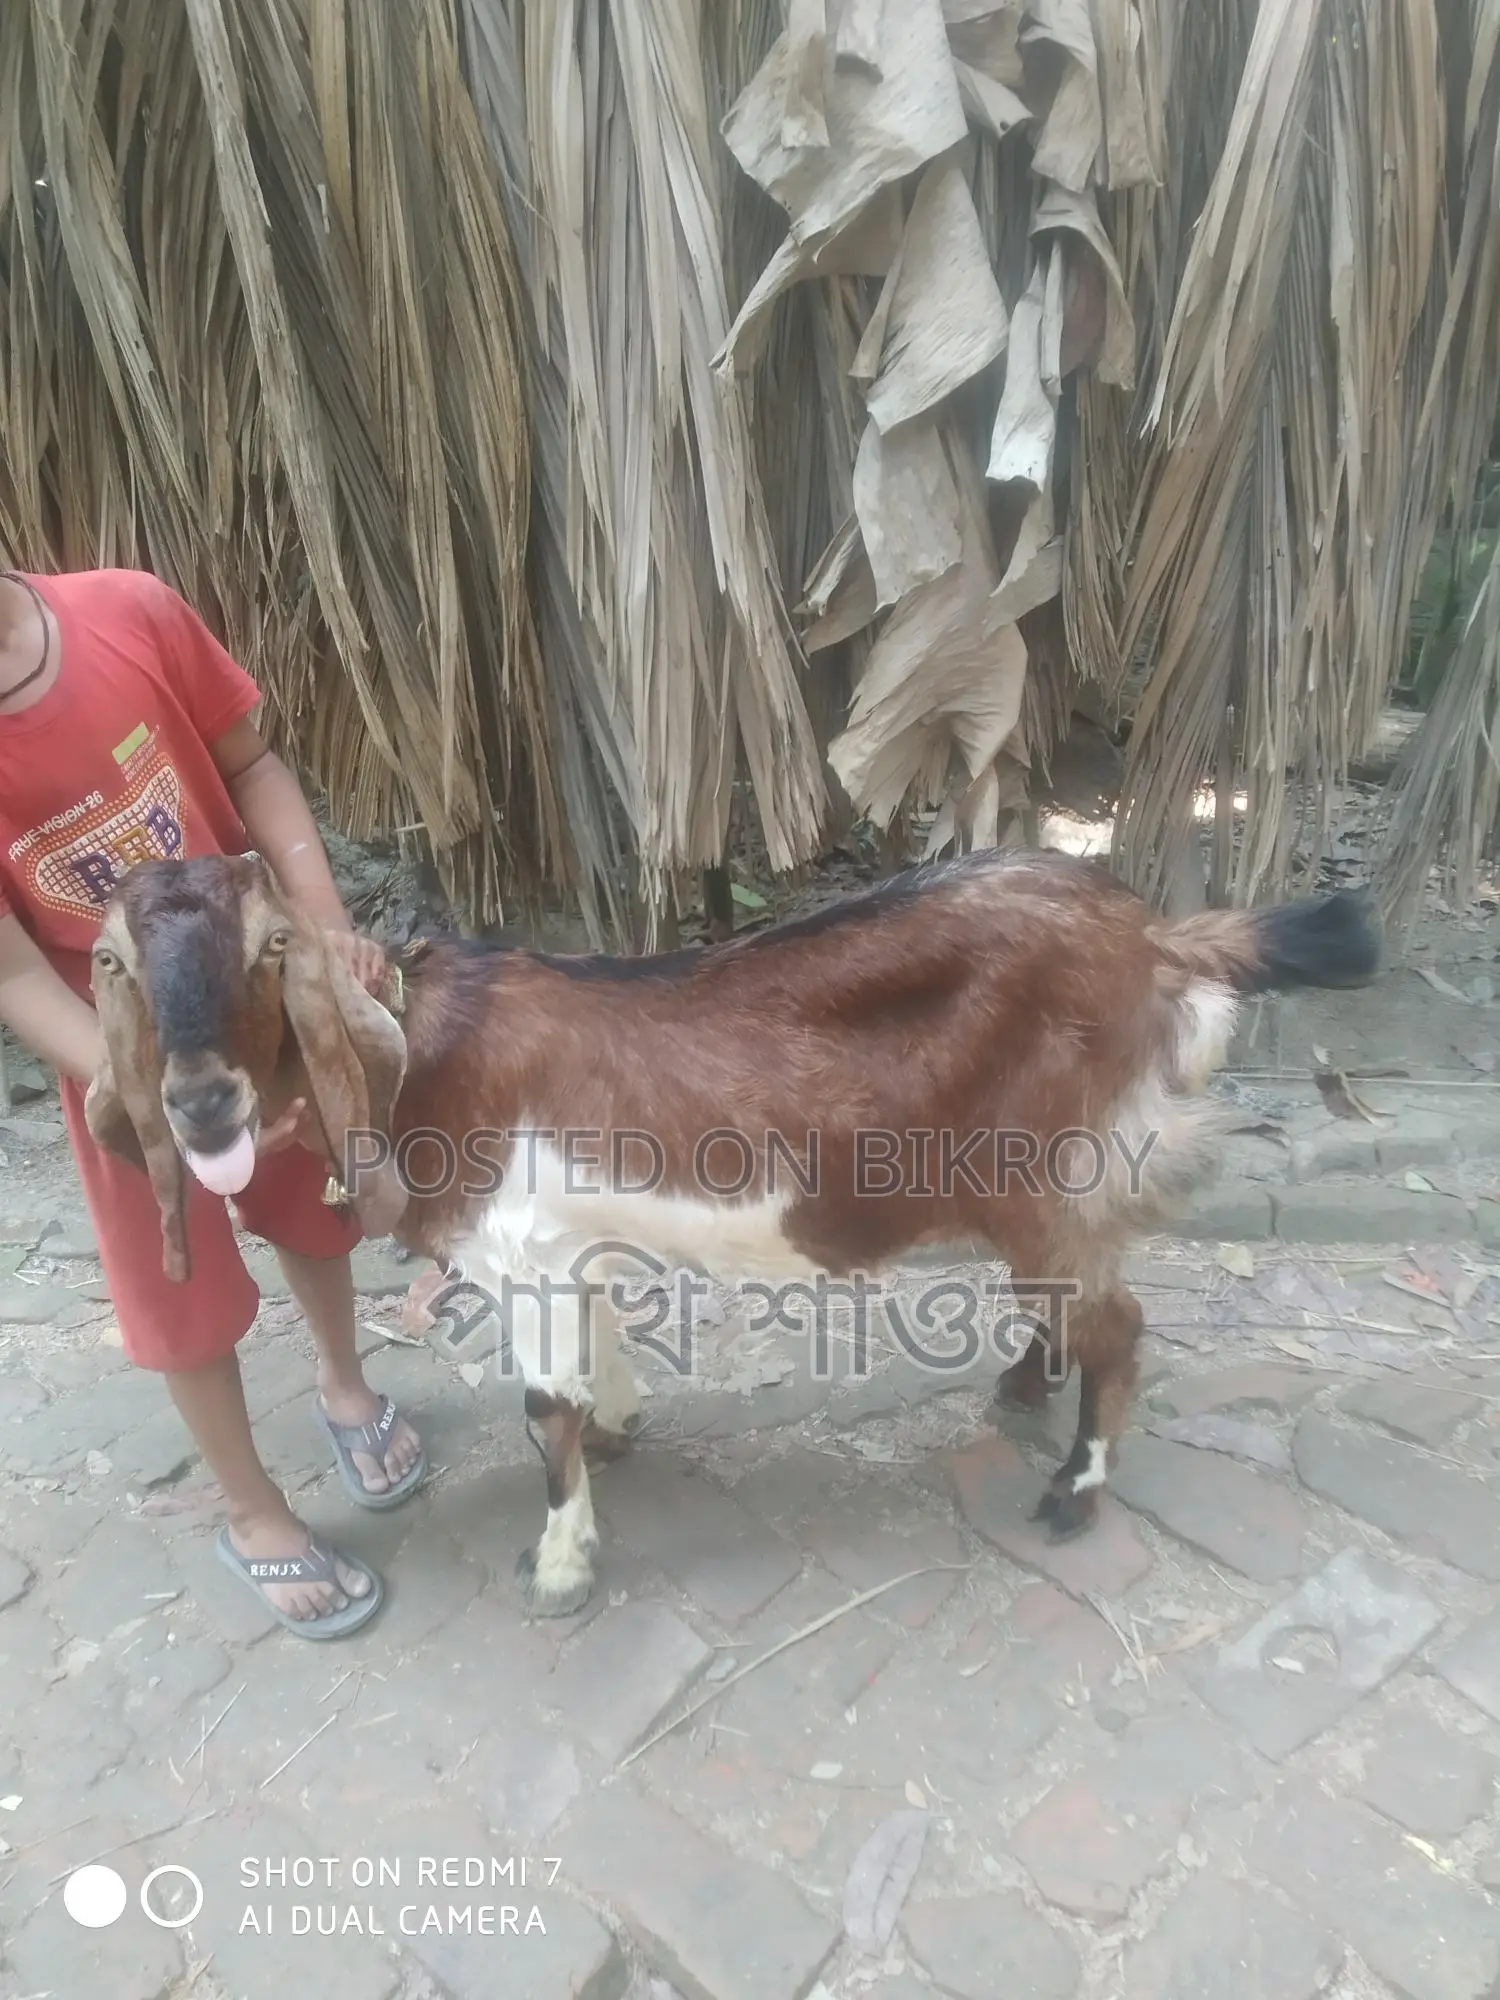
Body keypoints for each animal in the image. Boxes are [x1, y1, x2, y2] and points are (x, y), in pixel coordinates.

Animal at [86, 847, 1380, 1617]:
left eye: (270, 948)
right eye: (118, 964)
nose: (203, 1101)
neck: (423, 1045)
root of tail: (1159, 942)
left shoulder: (522, 1249)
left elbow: (539, 1405)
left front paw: (561, 1563)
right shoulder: (571, 1242)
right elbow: (600, 1346)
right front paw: (617, 1430)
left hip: (1053, 1170)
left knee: (1118, 1321)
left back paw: (1074, 1487)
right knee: (1077, 1305)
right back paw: (1025, 1385)